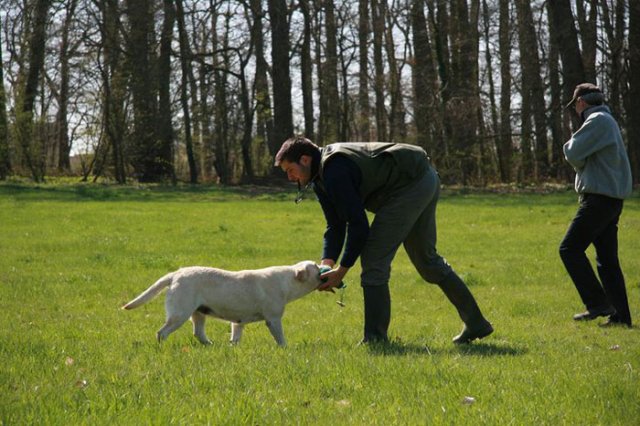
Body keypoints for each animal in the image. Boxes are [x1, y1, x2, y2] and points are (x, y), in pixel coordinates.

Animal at [122, 260, 322, 346]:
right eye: (316, 268)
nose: (325, 267)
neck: (287, 281)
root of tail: (175, 274)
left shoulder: (238, 322)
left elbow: (235, 338)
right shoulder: (273, 319)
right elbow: (280, 338)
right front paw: (285, 348)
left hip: (198, 314)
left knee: (198, 333)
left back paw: (210, 345)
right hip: (179, 314)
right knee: (161, 333)